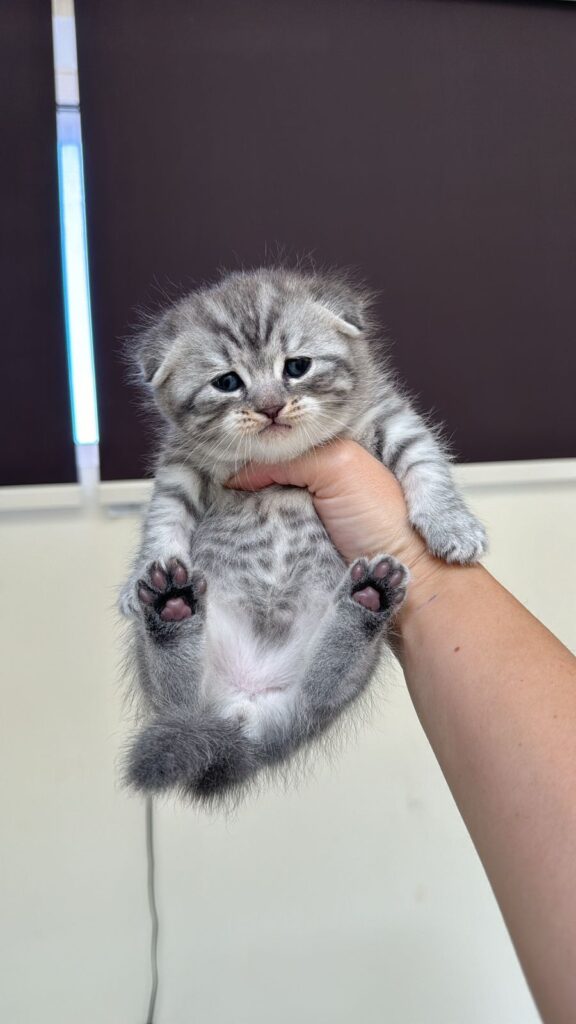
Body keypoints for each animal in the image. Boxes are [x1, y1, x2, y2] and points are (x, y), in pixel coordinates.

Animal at [119, 268, 483, 802]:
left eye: (297, 367)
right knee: (177, 698)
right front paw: (140, 575)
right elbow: (164, 517)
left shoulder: (389, 416)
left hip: (337, 681)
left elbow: (425, 462)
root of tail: (246, 714)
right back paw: (170, 602)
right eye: (227, 382)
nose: (270, 407)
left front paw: (451, 524)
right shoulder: (179, 465)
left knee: (325, 681)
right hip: (175, 685)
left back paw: (368, 598)